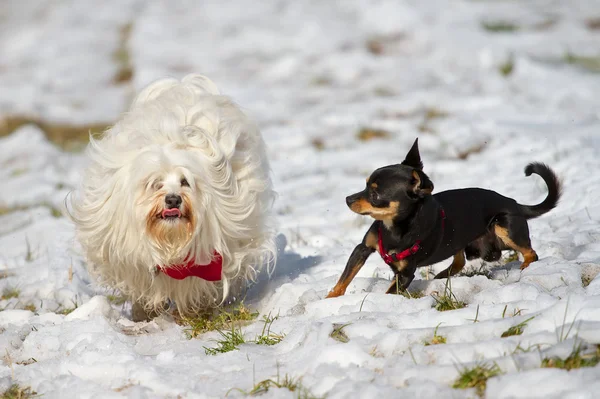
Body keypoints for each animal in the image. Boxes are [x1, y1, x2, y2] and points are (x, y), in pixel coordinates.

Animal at [326, 139, 560, 298]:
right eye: (365, 185)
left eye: (375, 195)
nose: (348, 199)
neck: (395, 227)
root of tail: (514, 203)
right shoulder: (362, 249)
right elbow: (344, 279)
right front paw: (330, 299)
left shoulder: (406, 273)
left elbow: (390, 291)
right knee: (459, 262)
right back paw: (441, 278)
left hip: (503, 226)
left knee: (531, 253)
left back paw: (525, 267)